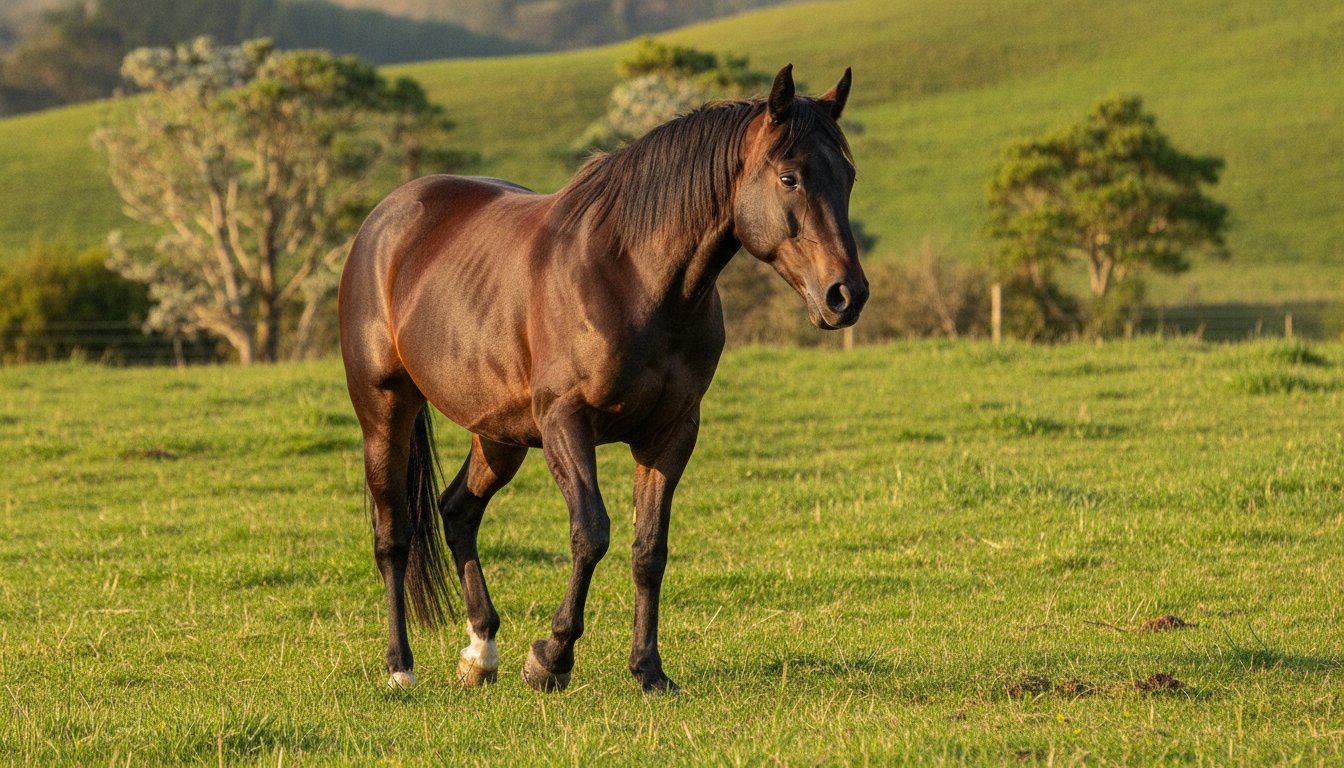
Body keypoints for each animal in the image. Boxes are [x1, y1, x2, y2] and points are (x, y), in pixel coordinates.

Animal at [339, 64, 867, 694]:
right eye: (789, 177)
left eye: (848, 176)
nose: (846, 295)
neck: (632, 276)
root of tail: (386, 218)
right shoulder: (566, 422)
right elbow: (591, 533)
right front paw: (550, 659)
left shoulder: (670, 433)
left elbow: (649, 550)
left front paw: (649, 670)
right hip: (385, 410)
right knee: (393, 536)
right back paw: (401, 668)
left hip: (498, 434)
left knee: (458, 511)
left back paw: (480, 652)